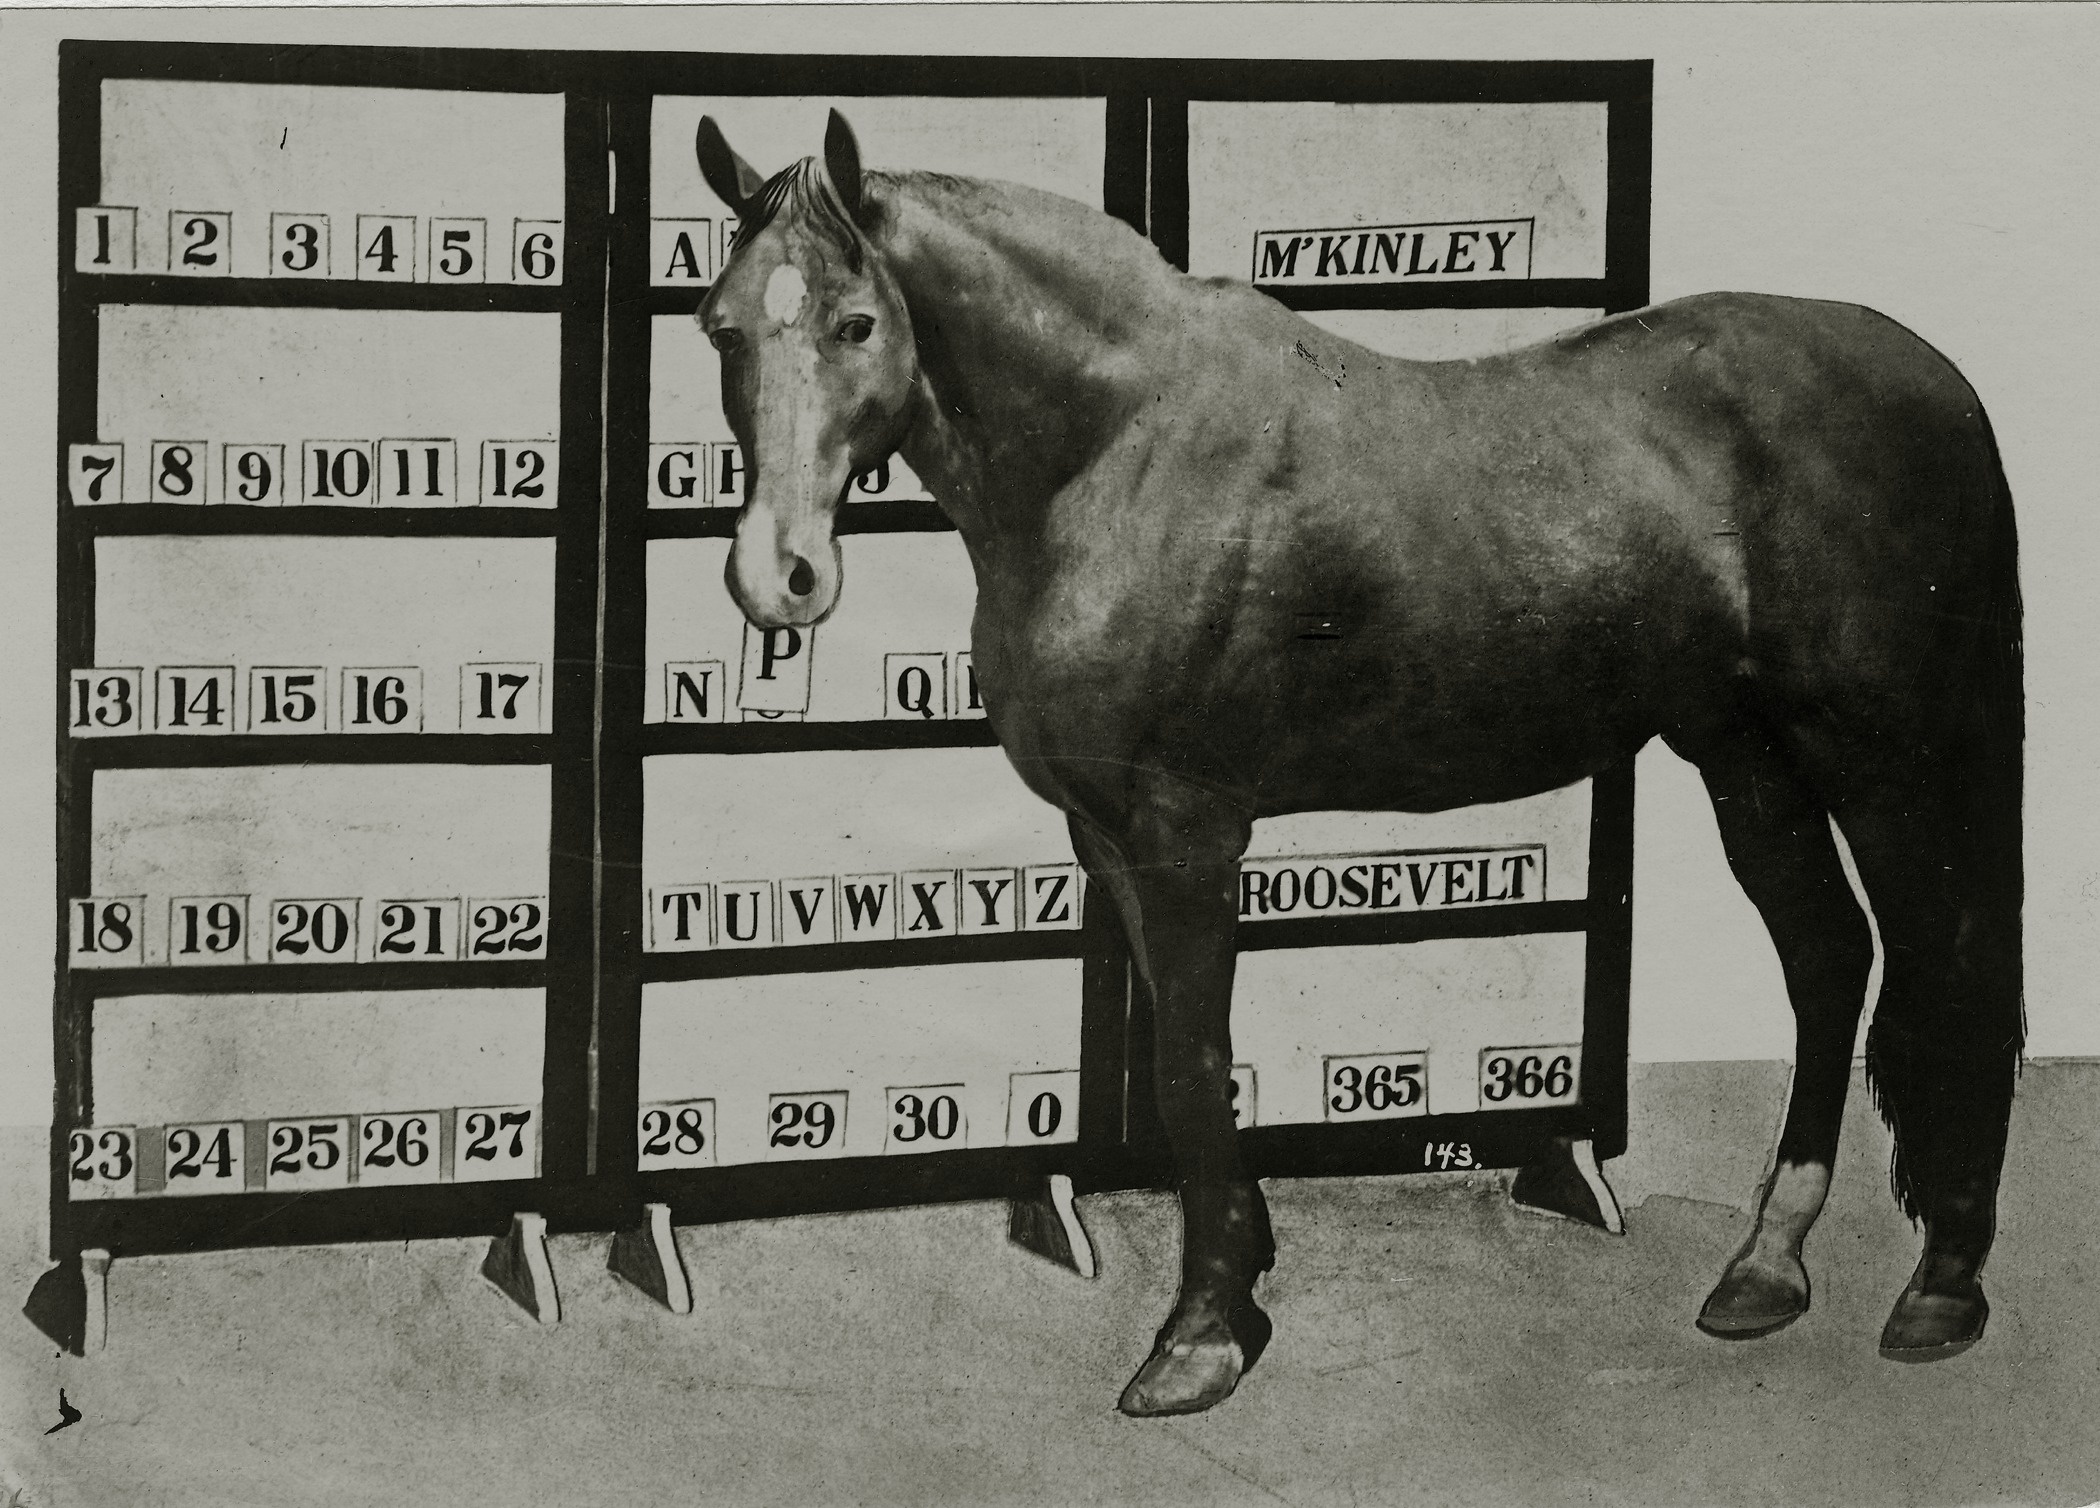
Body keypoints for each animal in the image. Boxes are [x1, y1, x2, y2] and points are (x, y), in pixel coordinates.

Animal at [691, 110, 2024, 1416]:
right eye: (721, 324)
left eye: (857, 322)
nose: (778, 576)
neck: (1119, 449)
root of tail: (1939, 381)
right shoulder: (1106, 832)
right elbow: (1181, 1053)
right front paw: (1242, 1275)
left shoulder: (1187, 827)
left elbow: (1192, 1062)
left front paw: (1201, 1335)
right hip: (1746, 753)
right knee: (1828, 956)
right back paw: (1765, 1264)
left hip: (1885, 757)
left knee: (1944, 959)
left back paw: (1943, 1288)